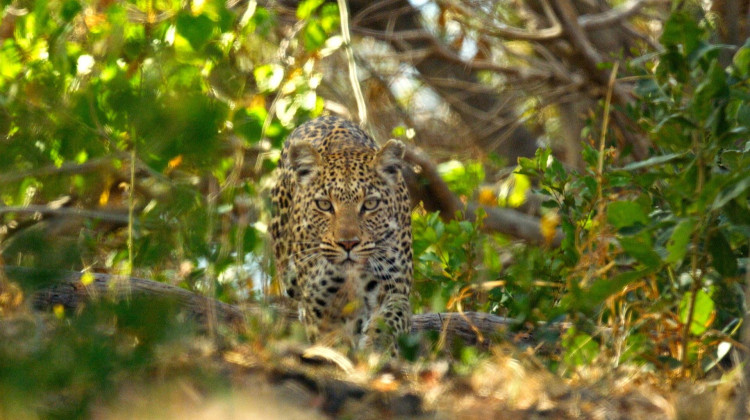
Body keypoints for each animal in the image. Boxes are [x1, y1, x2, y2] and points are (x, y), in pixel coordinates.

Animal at [270, 115, 412, 353]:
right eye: (324, 205)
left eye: (370, 204)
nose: (348, 244)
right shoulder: (320, 300)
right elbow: (329, 338)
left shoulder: (395, 285)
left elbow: (390, 321)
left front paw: (377, 349)